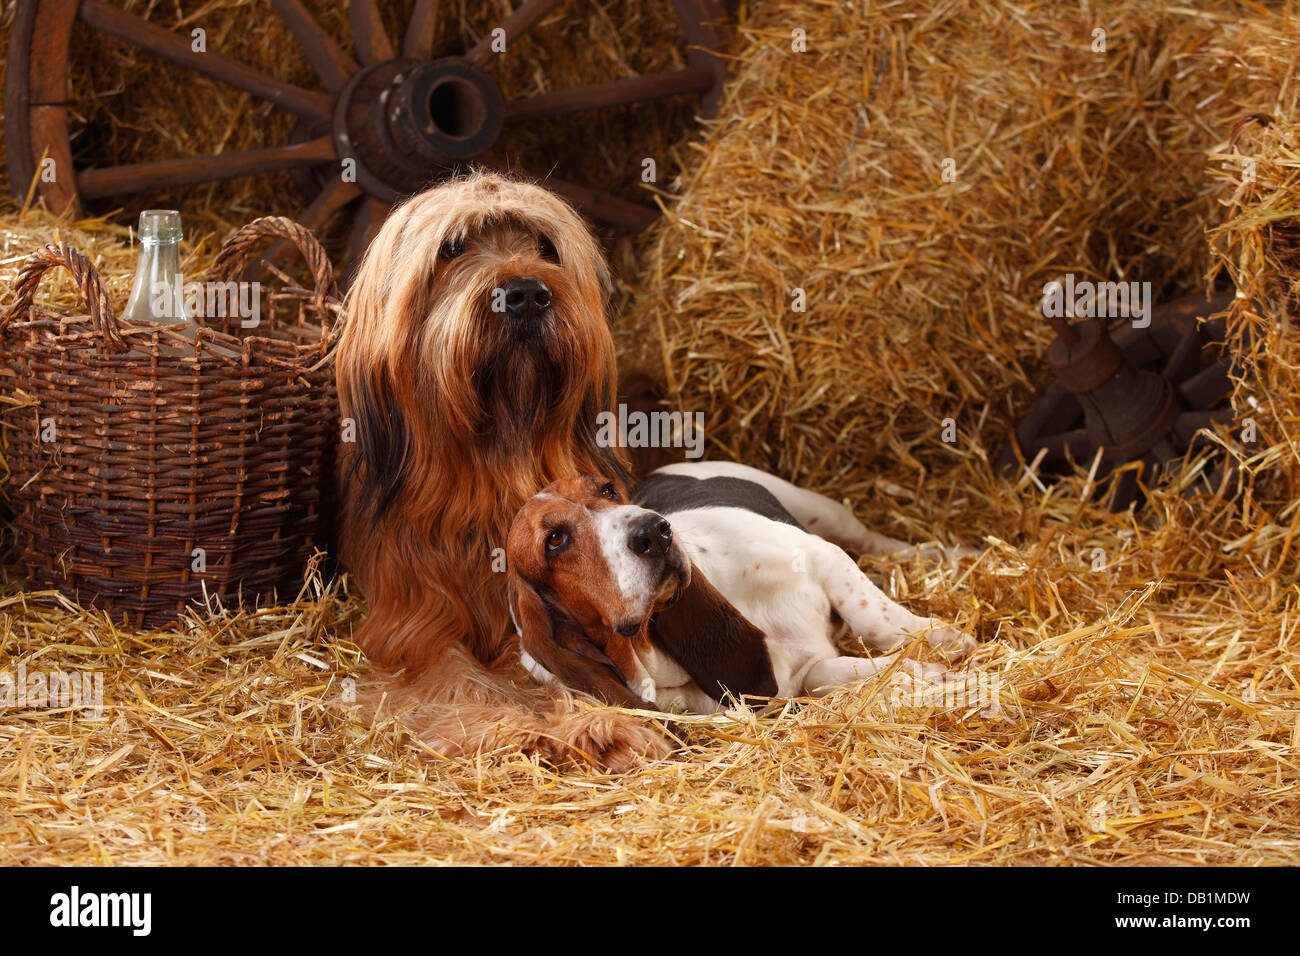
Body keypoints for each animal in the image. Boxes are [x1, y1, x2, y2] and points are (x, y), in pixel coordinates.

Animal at [338, 170, 670, 770]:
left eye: (545, 247)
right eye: (451, 248)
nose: (527, 294)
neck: (495, 464)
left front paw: (597, 723)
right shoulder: (413, 628)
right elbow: (461, 677)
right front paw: (513, 726)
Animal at [506, 463, 977, 712]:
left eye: (606, 490)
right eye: (555, 540)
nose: (655, 531)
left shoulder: (821, 554)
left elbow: (877, 619)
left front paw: (947, 641)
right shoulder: (798, 678)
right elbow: (842, 671)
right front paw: (926, 675)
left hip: (826, 514)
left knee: (882, 544)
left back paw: (956, 554)